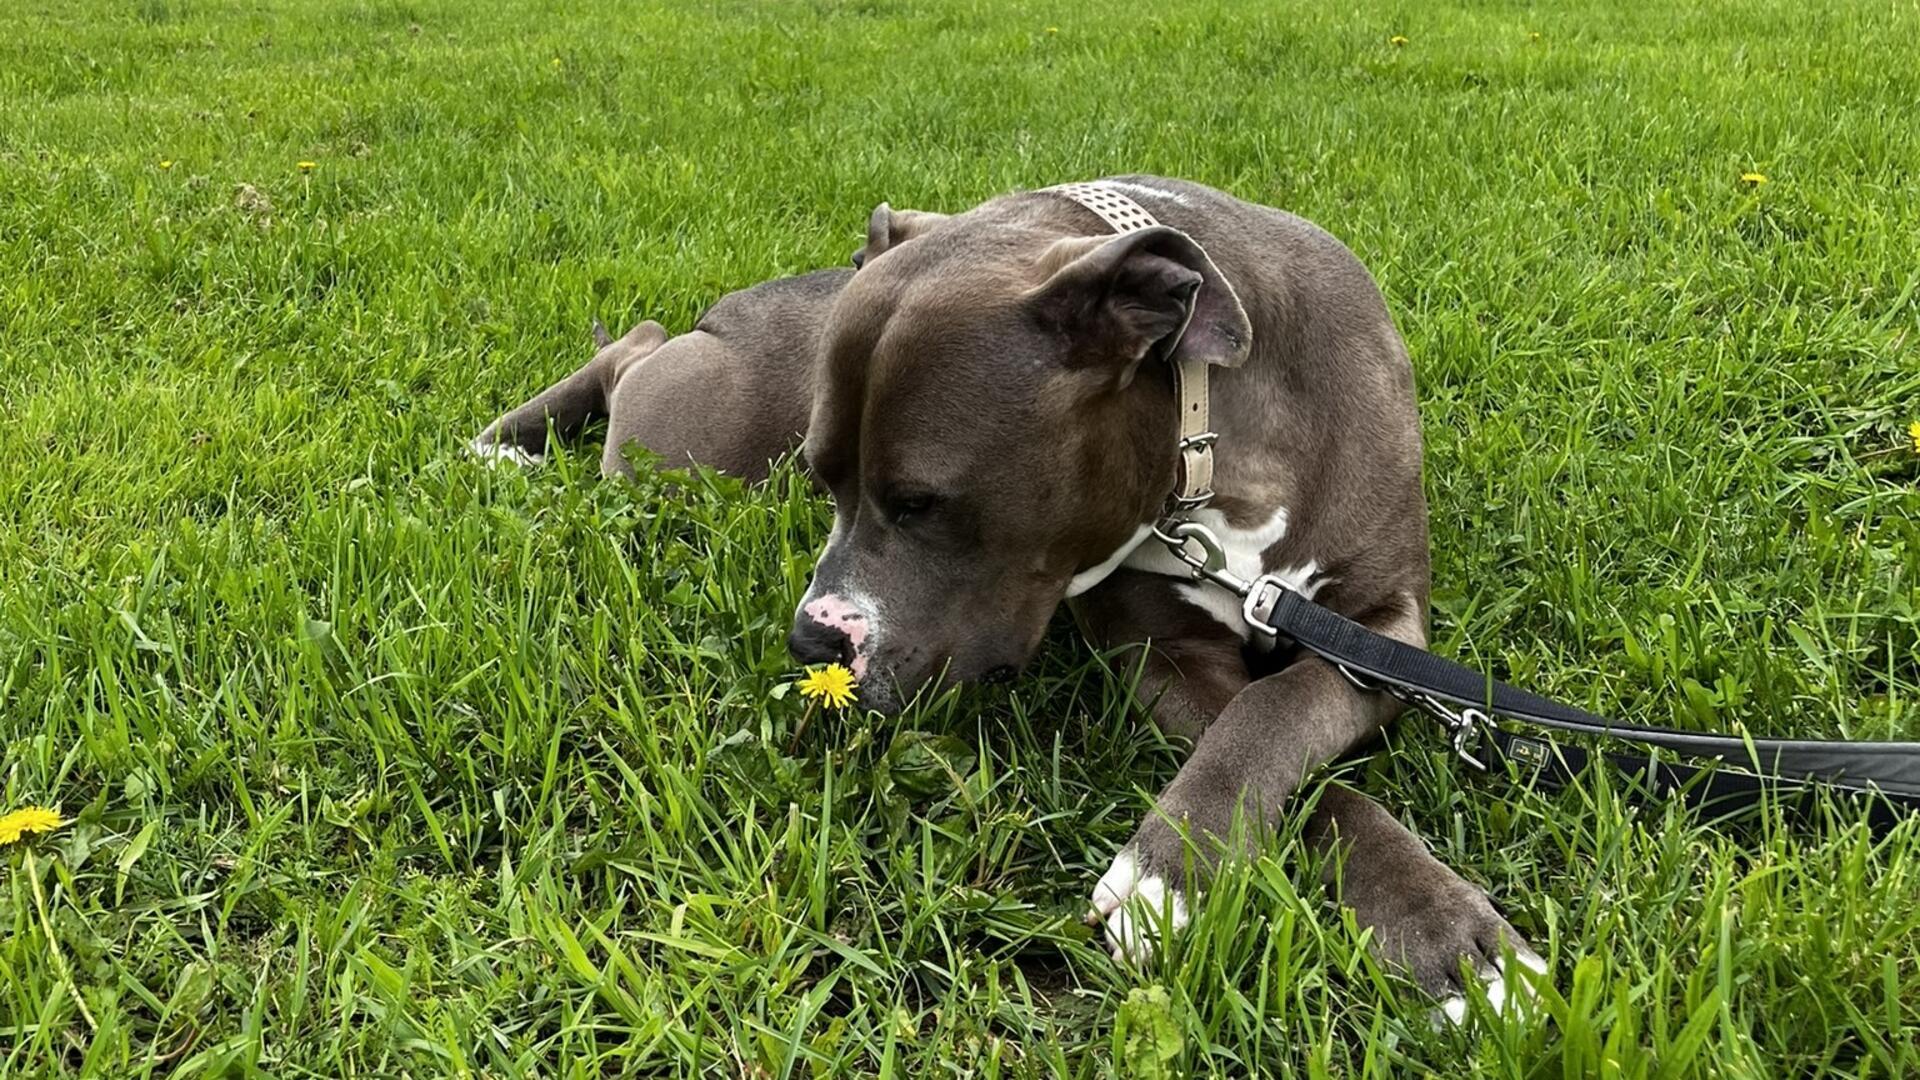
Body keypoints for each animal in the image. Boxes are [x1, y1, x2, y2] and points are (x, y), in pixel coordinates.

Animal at [480, 178, 1543, 1014]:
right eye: (826, 480)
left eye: (920, 502)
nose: (811, 643)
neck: (1211, 439)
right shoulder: (1159, 653)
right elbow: (1289, 754)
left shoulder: (1387, 631)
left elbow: (1281, 705)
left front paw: (1441, 938)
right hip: (690, 449)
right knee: (632, 349)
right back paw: (506, 443)